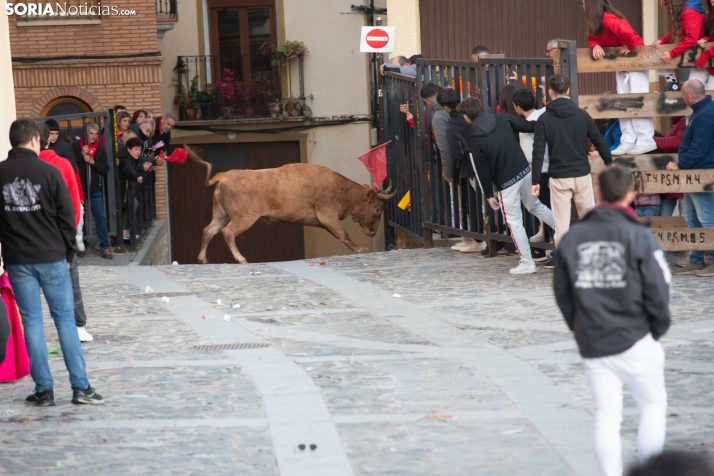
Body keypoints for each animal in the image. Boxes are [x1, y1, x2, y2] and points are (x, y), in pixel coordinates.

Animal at [184, 145, 394, 264]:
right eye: (377, 209)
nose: (372, 232)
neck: (340, 187)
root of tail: (222, 176)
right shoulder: (328, 215)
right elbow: (344, 234)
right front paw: (361, 248)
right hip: (244, 218)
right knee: (227, 232)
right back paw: (241, 259)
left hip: (221, 215)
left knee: (209, 230)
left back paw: (202, 259)